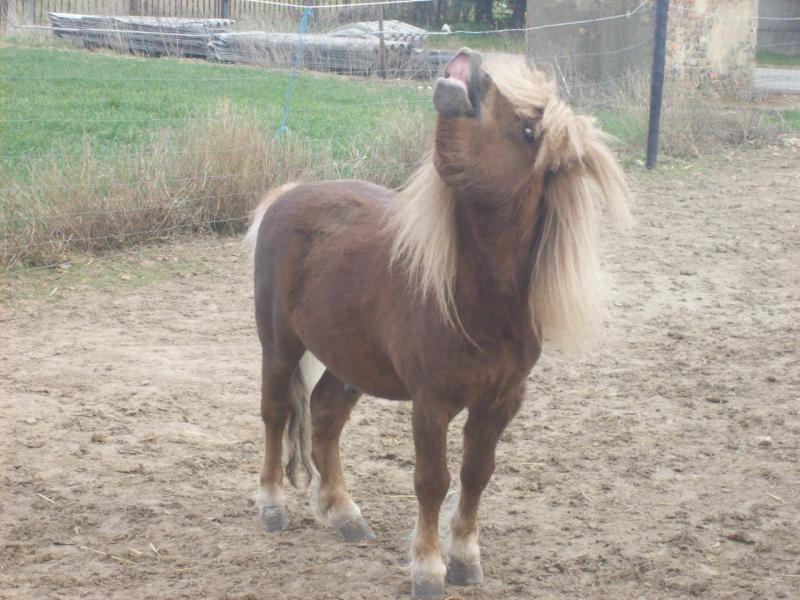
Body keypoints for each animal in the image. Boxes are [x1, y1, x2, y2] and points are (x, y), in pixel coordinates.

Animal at [244, 48, 631, 599]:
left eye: (530, 130)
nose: (470, 63)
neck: (482, 304)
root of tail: (288, 195)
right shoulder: (432, 402)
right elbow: (432, 480)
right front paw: (428, 567)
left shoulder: (500, 402)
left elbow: (476, 474)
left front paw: (465, 556)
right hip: (279, 345)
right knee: (276, 415)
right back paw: (272, 504)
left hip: (349, 360)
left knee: (325, 417)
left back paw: (342, 513)